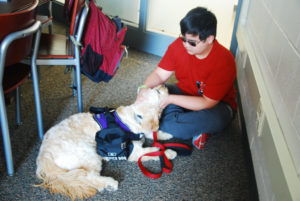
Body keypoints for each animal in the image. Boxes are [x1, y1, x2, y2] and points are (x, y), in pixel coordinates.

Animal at [36, 84, 175, 199]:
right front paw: (168, 152)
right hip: (88, 153)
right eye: (157, 91)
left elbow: (152, 133)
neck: (134, 119)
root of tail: (43, 155)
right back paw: (109, 183)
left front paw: (165, 135)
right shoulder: (133, 152)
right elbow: (153, 150)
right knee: (88, 177)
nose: (165, 85)